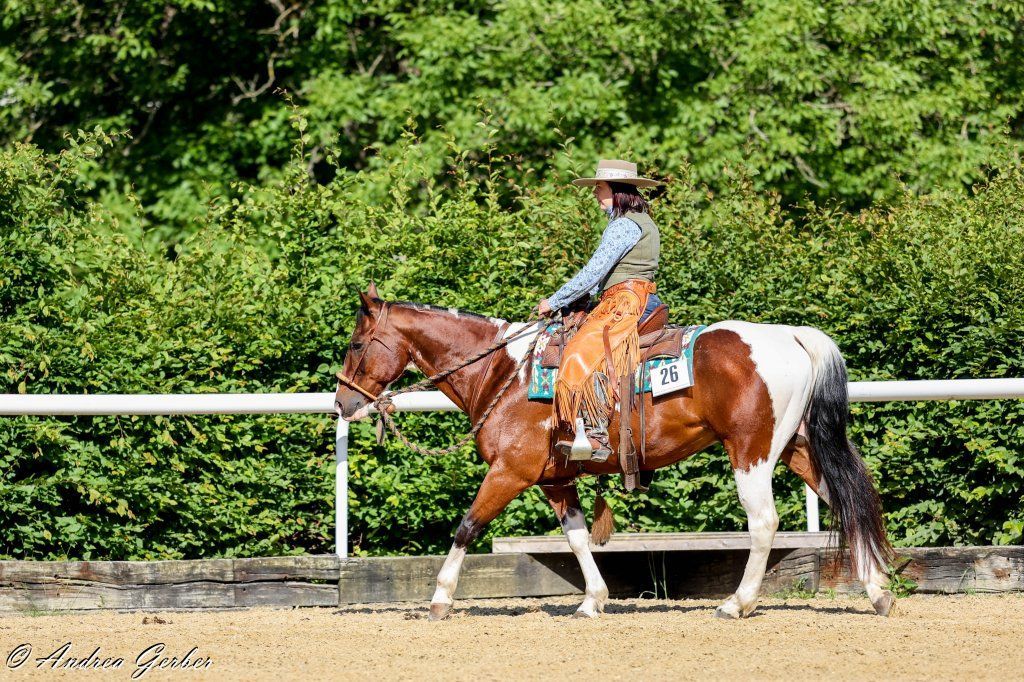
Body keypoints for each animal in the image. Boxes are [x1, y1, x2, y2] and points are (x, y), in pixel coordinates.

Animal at [334, 283, 895, 621]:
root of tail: (792, 337)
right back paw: (879, 591)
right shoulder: (555, 479)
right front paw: (593, 601)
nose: (342, 402)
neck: (505, 373)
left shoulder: (510, 471)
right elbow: (578, 539)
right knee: (846, 503)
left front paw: (439, 598)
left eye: (357, 345)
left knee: (764, 523)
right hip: (796, 448)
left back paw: (737, 603)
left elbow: (467, 527)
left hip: (751, 452)